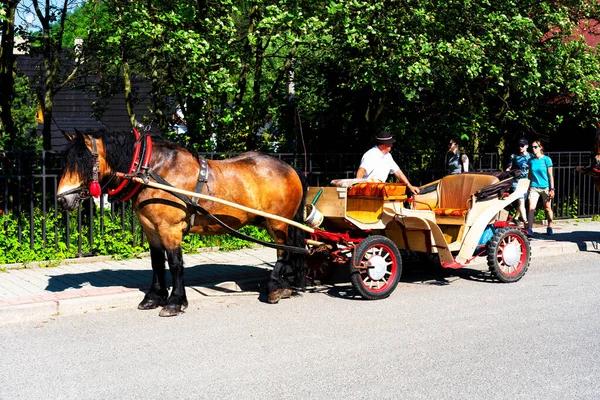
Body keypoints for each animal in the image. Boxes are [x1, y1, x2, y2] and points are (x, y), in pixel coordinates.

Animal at [58, 130, 308, 318]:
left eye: (82, 163)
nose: (61, 199)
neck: (153, 172)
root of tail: (291, 167)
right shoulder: (151, 229)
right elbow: (157, 263)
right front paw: (154, 297)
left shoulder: (170, 229)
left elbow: (176, 264)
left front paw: (175, 302)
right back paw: (285, 286)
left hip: (277, 223)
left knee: (282, 252)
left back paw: (275, 287)